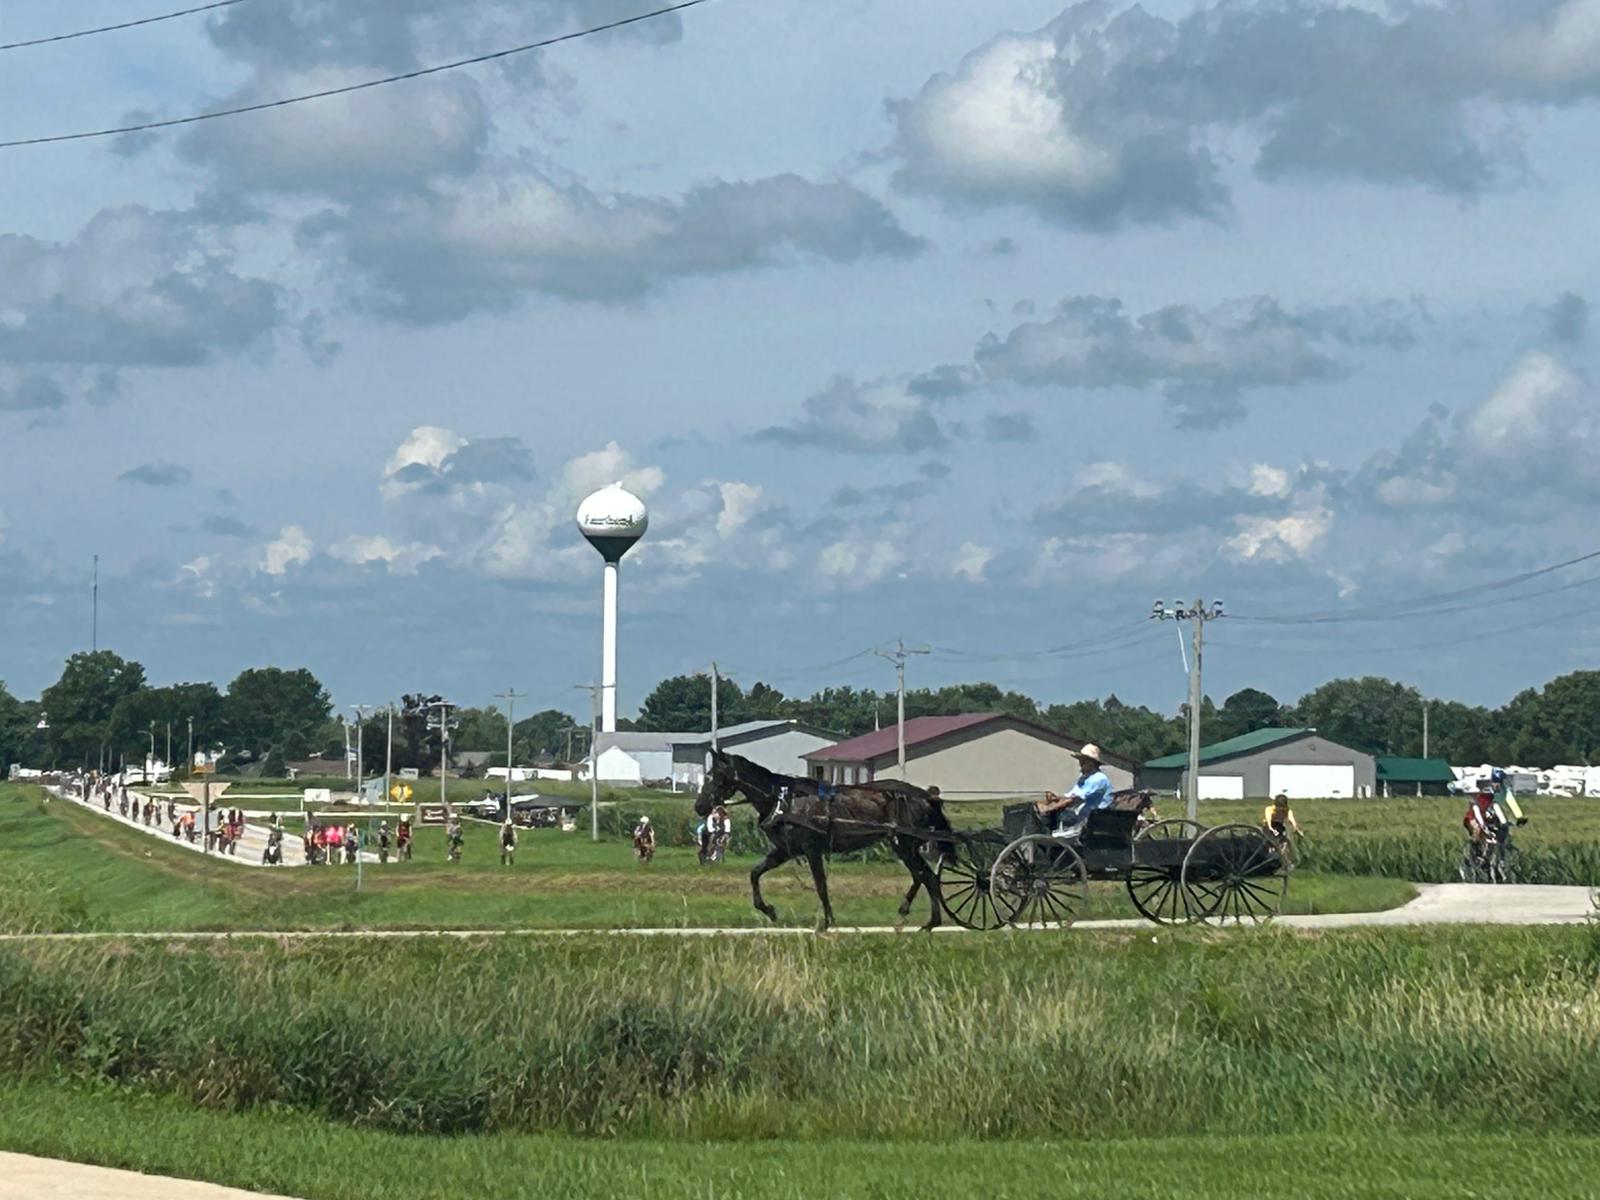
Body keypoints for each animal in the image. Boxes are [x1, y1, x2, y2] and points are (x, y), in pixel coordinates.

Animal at [695, 749, 954, 931]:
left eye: (716, 776)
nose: (699, 806)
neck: (783, 800)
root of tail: (925, 796)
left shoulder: (812, 849)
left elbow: (821, 885)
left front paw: (827, 921)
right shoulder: (785, 850)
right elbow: (755, 873)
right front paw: (768, 910)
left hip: (905, 844)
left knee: (927, 876)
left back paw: (931, 922)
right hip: (903, 845)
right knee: (921, 876)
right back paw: (911, 913)